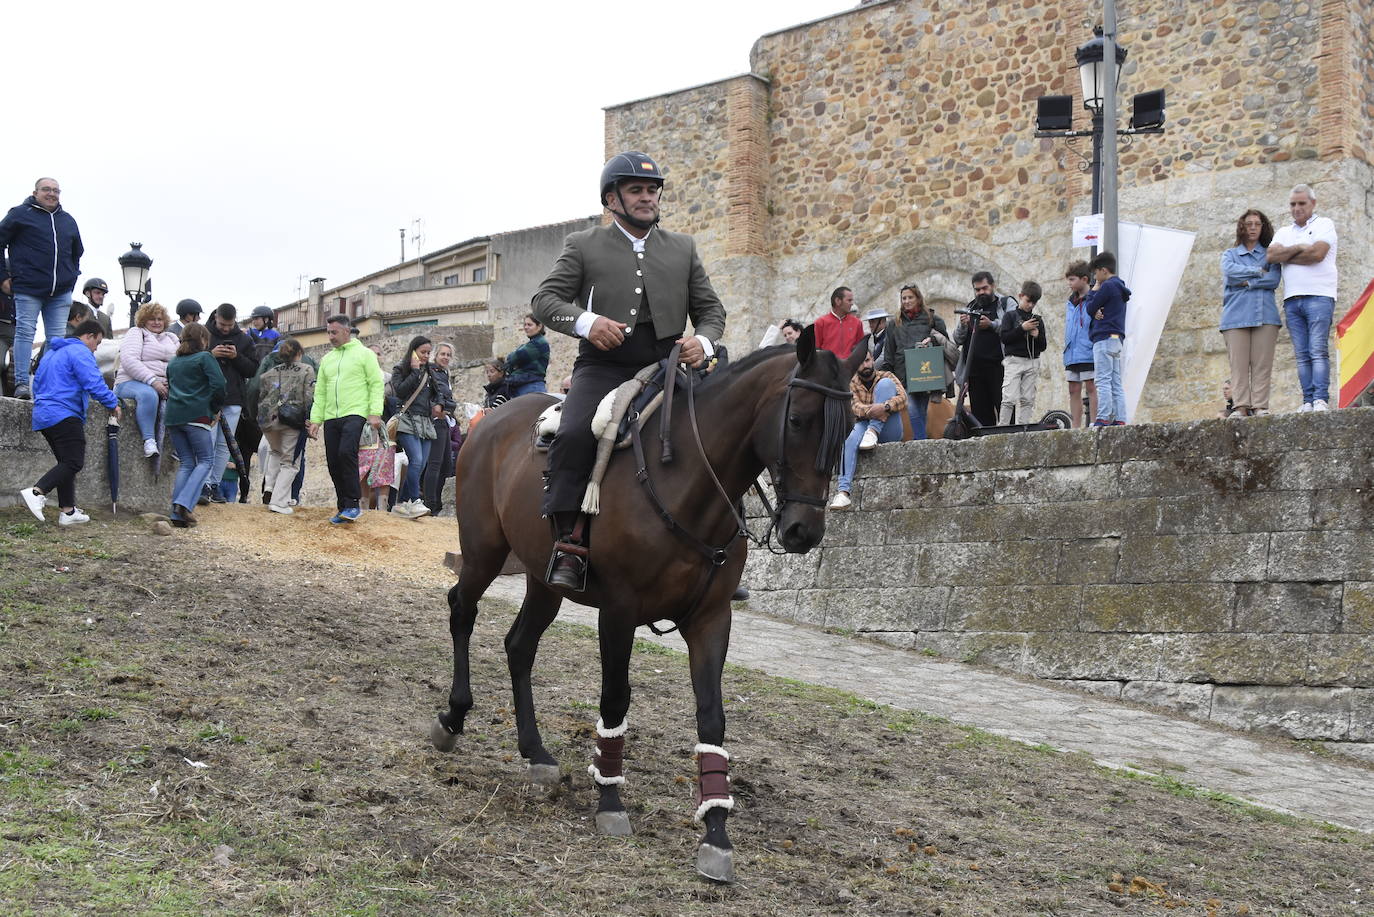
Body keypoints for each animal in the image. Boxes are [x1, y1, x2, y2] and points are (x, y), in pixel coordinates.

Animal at [431, 328, 857, 879]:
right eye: (798, 419)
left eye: (847, 427)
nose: (804, 531)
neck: (690, 484)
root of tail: (493, 419)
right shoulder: (619, 611)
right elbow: (615, 700)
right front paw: (610, 800)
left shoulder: (711, 620)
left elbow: (712, 718)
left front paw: (716, 832)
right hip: (484, 550)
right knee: (462, 610)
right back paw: (453, 717)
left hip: (545, 582)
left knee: (519, 646)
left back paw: (536, 752)